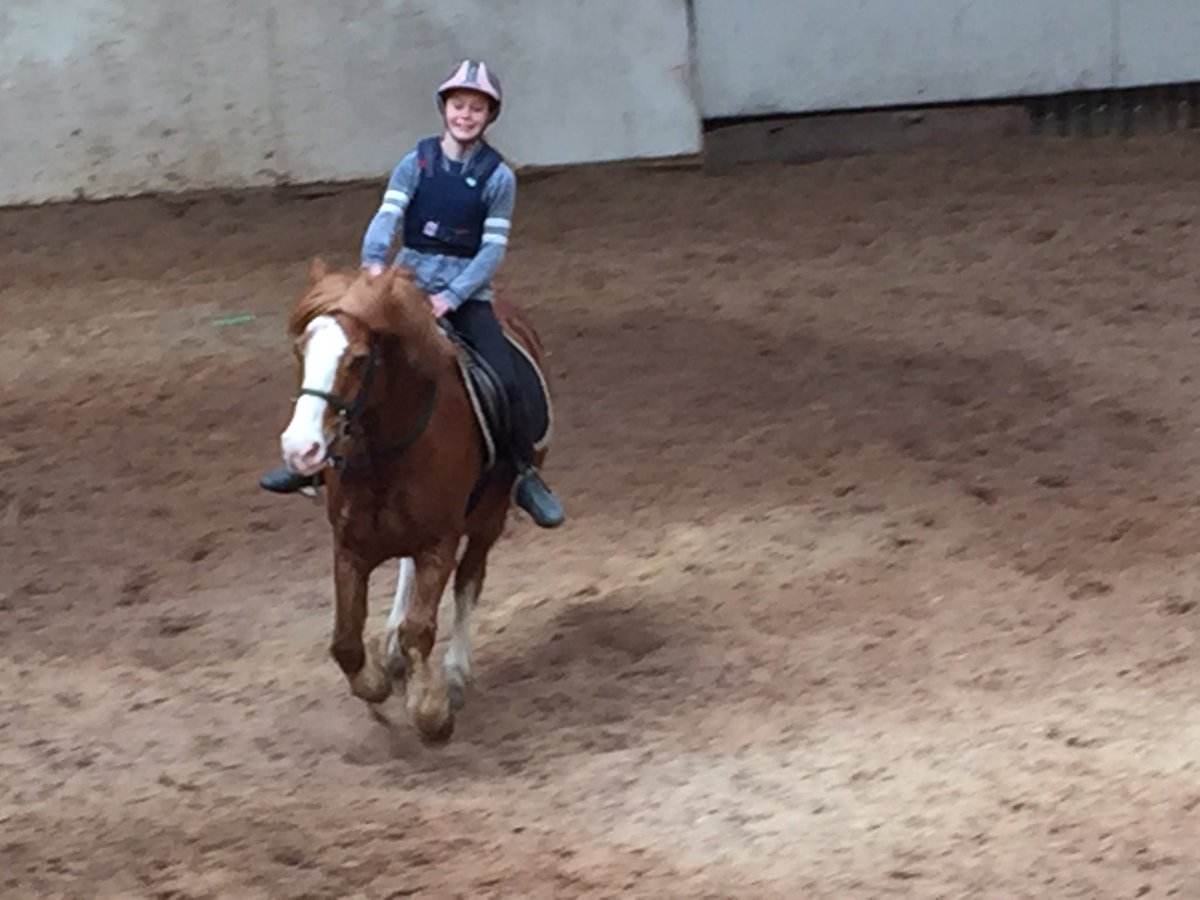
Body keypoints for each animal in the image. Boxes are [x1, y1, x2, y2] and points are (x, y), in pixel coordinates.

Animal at [276, 259, 553, 744]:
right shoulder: (349, 545)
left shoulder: (438, 542)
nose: (300, 449)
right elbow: (345, 640)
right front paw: (376, 682)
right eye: (301, 350)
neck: (387, 452)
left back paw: (455, 672)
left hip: (488, 518)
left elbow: (421, 627)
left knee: (469, 580)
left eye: (358, 359)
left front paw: (432, 713)